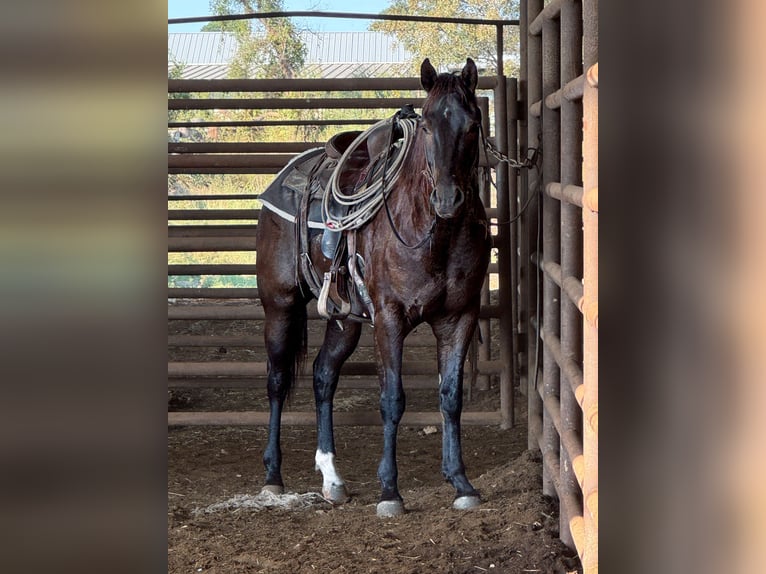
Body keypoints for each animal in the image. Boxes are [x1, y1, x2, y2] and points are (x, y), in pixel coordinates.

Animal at [254, 57, 492, 516]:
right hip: (280, 305)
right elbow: (392, 399)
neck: (432, 234)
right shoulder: (389, 318)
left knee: (323, 375)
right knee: (277, 379)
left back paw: (332, 479)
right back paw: (273, 477)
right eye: (428, 125)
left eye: (473, 124)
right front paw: (390, 492)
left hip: (344, 319)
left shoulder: (459, 318)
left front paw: (461, 483)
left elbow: (450, 397)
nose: (448, 200)